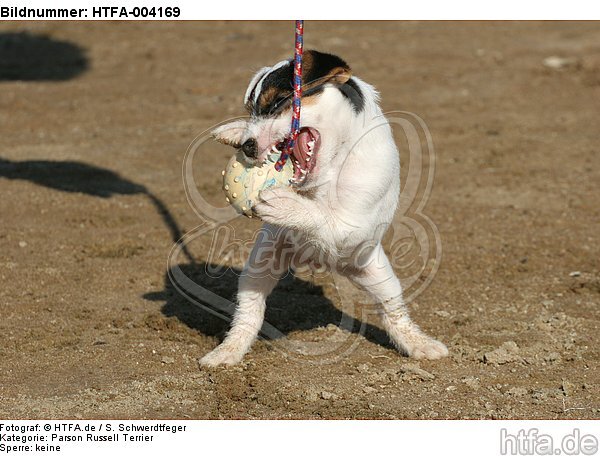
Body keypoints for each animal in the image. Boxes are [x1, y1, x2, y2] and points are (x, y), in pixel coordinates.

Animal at [202, 49, 446, 366]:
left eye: (279, 102)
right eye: (250, 111)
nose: (247, 146)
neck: (330, 167)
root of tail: (319, 262)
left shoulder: (353, 224)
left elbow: (322, 215)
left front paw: (286, 205)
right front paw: (234, 130)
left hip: (379, 275)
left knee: (393, 311)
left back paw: (419, 344)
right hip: (259, 266)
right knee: (249, 312)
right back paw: (228, 350)